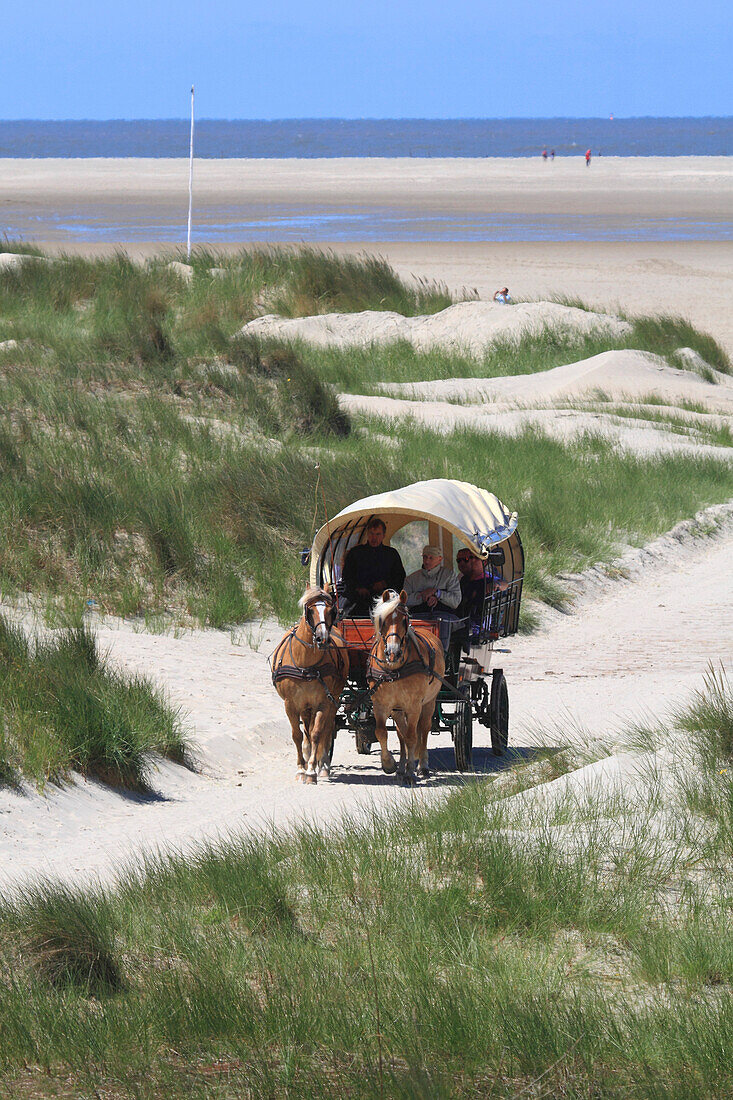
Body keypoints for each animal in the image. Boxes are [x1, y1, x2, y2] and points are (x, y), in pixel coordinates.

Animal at [269, 585, 347, 783]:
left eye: (331, 610)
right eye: (309, 610)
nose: (322, 639)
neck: (306, 664)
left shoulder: (323, 702)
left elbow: (317, 733)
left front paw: (311, 770)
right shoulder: (290, 704)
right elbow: (297, 735)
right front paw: (301, 768)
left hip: (333, 699)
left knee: (327, 728)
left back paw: (323, 764)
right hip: (305, 705)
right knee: (306, 728)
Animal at [367, 594, 442, 783]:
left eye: (404, 620)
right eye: (382, 620)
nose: (393, 652)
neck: (394, 671)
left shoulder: (414, 706)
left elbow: (412, 737)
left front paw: (410, 771)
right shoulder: (381, 705)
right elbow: (382, 732)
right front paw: (389, 764)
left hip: (429, 702)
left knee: (423, 729)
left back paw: (422, 766)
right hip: (398, 710)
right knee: (402, 734)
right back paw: (401, 767)